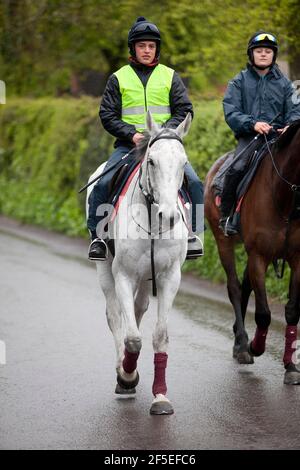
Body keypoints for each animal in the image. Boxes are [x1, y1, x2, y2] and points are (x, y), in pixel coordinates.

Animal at [204, 122, 300, 386]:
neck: (283, 196)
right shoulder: (259, 256)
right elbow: (264, 314)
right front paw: (255, 347)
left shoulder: (297, 260)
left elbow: (291, 312)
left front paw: (290, 366)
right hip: (223, 241)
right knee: (235, 288)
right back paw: (243, 344)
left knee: (245, 286)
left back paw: (239, 341)